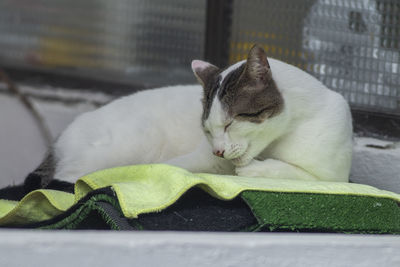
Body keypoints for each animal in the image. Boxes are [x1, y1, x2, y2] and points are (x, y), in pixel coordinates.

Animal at [28, 44, 354, 188]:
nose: (218, 150)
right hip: (131, 142)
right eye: (207, 130)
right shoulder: (199, 159)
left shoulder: (334, 178)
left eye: (231, 122)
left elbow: (295, 173)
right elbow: (172, 168)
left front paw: (252, 171)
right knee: (70, 176)